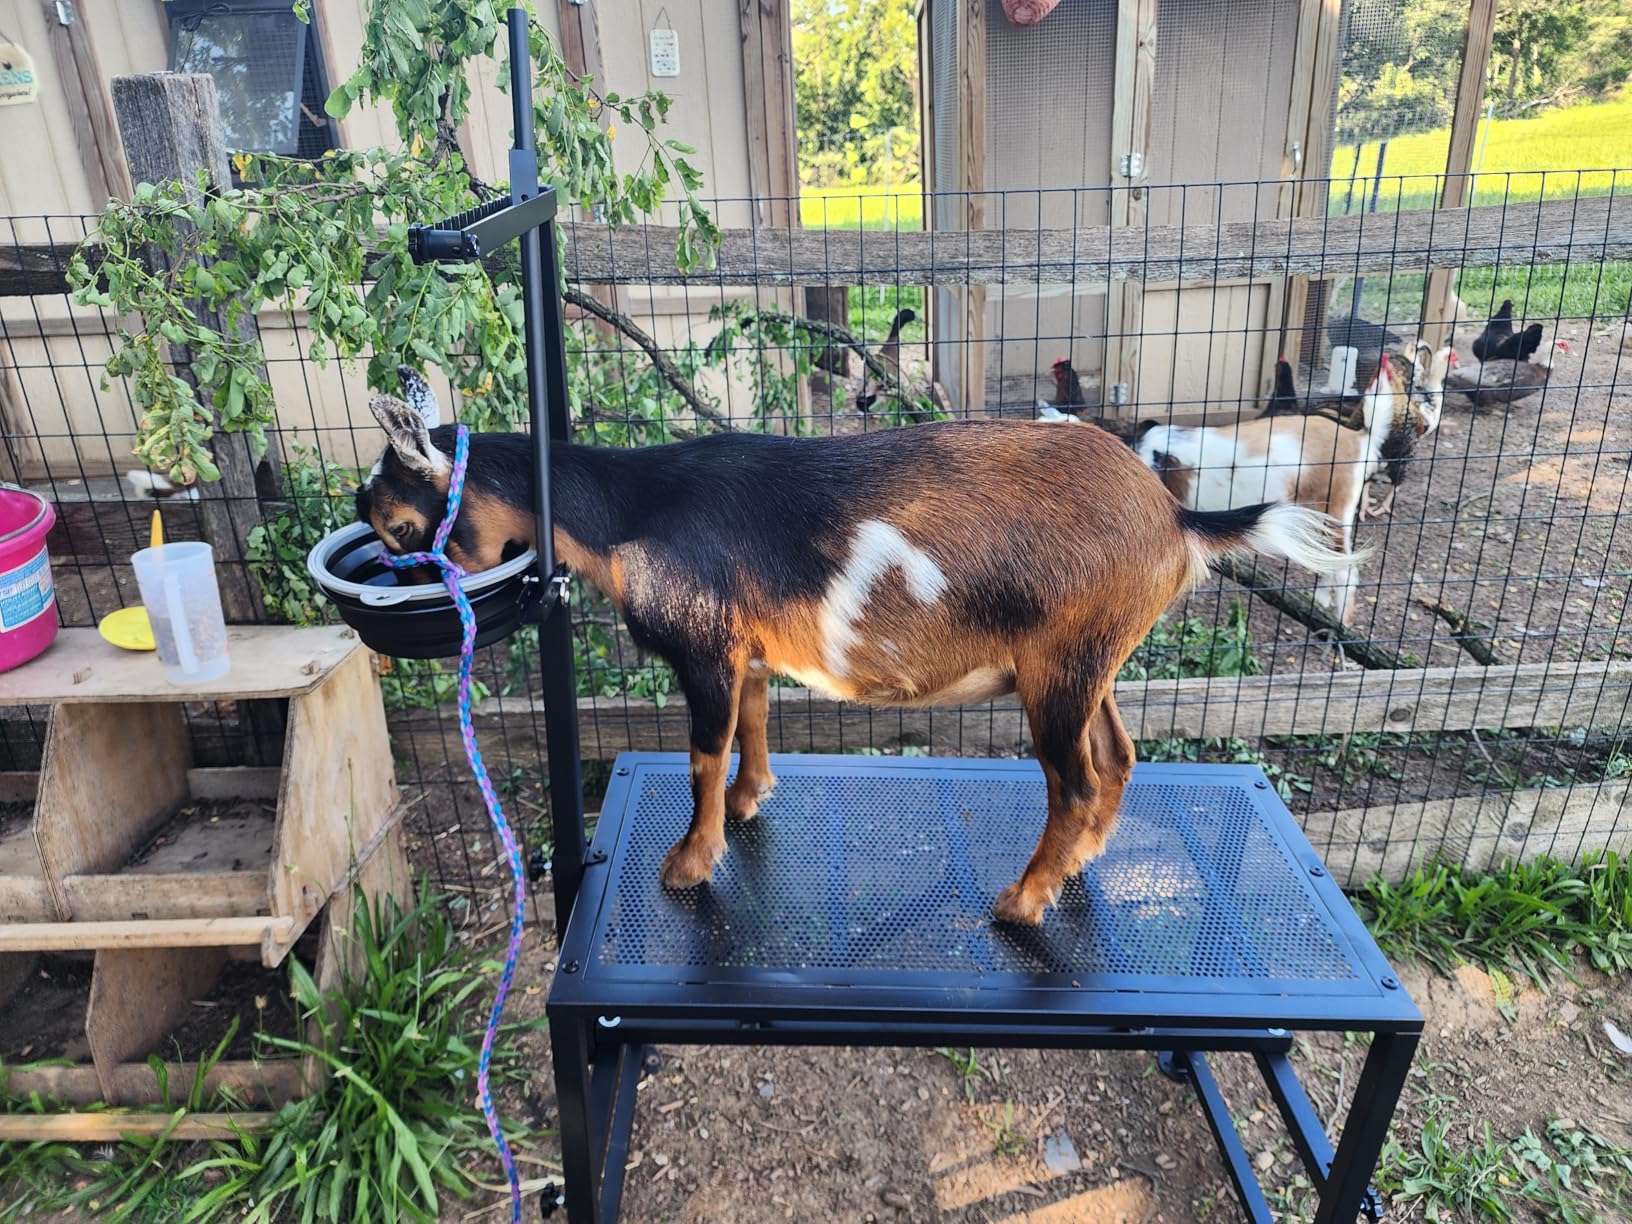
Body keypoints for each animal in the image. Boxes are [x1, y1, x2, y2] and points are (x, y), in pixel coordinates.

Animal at [358, 367, 1353, 926]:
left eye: (401, 526)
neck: (632, 512)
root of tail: (1178, 518)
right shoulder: (747, 646)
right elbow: (753, 724)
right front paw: (752, 803)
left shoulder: (703, 648)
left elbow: (700, 753)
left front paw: (687, 865)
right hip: (1091, 659)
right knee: (1117, 755)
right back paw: (1087, 861)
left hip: (1062, 670)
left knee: (1072, 779)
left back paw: (1024, 904)